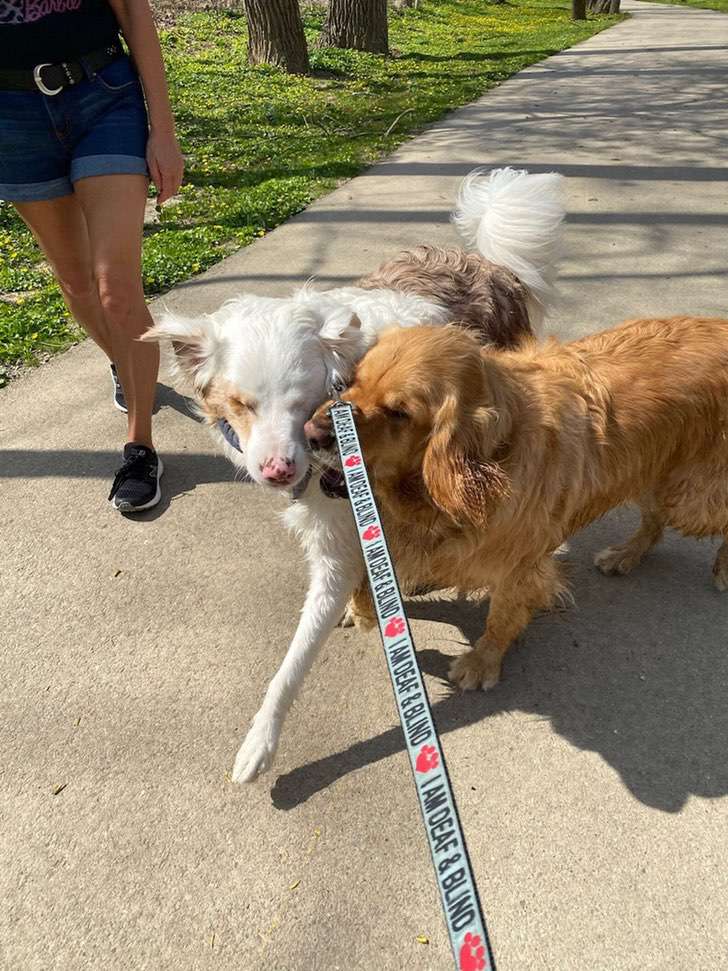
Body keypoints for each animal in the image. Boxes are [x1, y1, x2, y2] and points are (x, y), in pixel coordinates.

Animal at [142, 169, 564, 784]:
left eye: (303, 401)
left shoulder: (348, 526)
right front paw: (365, 609)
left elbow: (292, 662)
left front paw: (261, 741)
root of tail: (483, 259)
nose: (278, 471)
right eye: (241, 404)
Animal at [308, 318, 728, 692]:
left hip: (691, 499)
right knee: (654, 519)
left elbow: (502, 616)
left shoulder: (520, 565)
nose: (312, 434)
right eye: (349, 382)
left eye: (400, 413)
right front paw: (362, 606)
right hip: (650, 469)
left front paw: (483, 661)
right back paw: (625, 554)